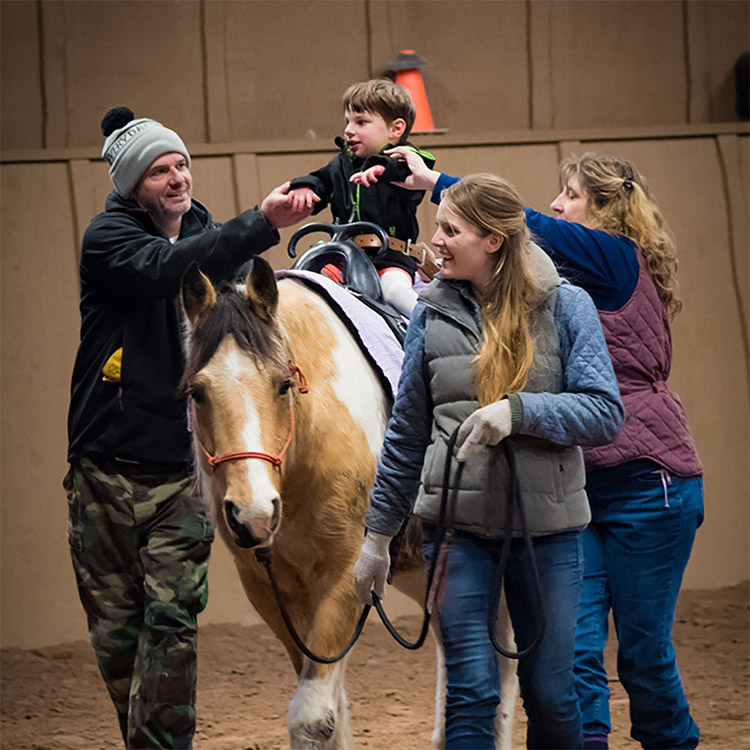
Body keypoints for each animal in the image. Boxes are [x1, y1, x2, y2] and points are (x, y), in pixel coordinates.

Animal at [179, 260, 516, 750]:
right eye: (197, 392)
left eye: (283, 384)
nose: (253, 513)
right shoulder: (267, 587)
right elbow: (329, 711)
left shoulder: (346, 575)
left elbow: (313, 718)